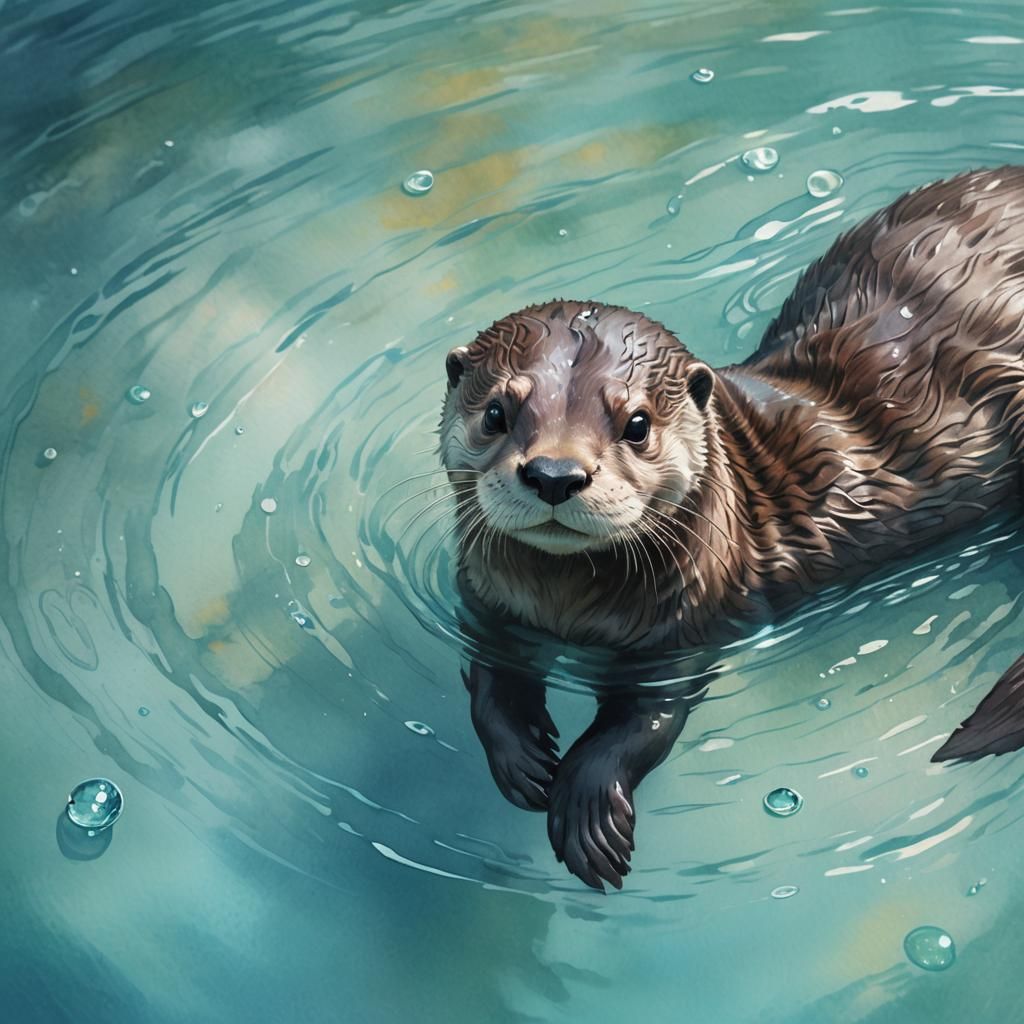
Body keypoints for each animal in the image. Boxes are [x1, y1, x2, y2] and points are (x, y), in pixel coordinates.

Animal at [438, 166, 1024, 891]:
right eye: (496, 413)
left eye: (636, 424)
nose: (554, 473)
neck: (563, 608)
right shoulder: (486, 603)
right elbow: (489, 680)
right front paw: (522, 756)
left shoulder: (684, 628)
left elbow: (641, 724)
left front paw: (586, 808)